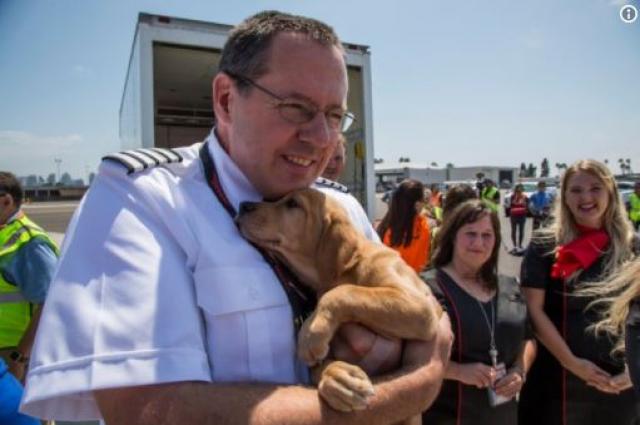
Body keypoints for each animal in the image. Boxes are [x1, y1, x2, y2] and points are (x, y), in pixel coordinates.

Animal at [235, 187, 440, 416]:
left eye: (293, 204)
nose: (243, 205)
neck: (349, 268)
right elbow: (317, 367)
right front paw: (339, 378)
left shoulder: (419, 305)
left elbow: (344, 291)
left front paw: (310, 334)